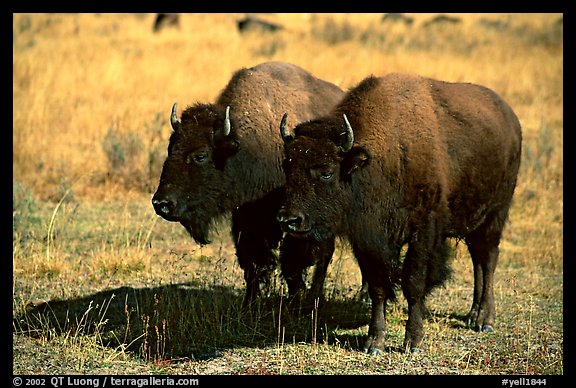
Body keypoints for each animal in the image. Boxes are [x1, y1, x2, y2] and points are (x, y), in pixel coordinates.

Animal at [151, 61, 344, 310]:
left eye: (201, 155)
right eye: (170, 148)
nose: (161, 203)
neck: (246, 145)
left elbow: (292, 263)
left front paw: (295, 304)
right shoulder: (247, 219)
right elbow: (252, 263)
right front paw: (248, 305)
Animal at [276, 73, 524, 354]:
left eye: (327, 171)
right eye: (287, 166)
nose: (289, 220)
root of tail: (511, 119)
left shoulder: (423, 231)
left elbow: (413, 282)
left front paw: (413, 342)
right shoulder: (368, 239)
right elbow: (378, 286)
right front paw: (374, 342)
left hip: (495, 216)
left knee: (488, 259)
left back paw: (485, 319)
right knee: (478, 260)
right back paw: (472, 314)